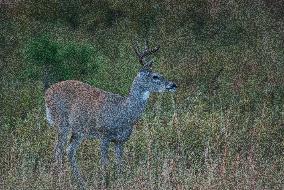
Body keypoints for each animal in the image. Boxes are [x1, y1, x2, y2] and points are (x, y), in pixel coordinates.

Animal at [44, 40, 176, 189]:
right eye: (155, 76)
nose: (173, 85)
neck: (124, 112)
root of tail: (47, 92)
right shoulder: (104, 135)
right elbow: (105, 163)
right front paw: (105, 182)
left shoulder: (121, 140)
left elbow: (119, 164)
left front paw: (120, 181)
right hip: (62, 123)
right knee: (58, 150)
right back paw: (58, 180)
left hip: (78, 131)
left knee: (69, 151)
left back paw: (80, 182)